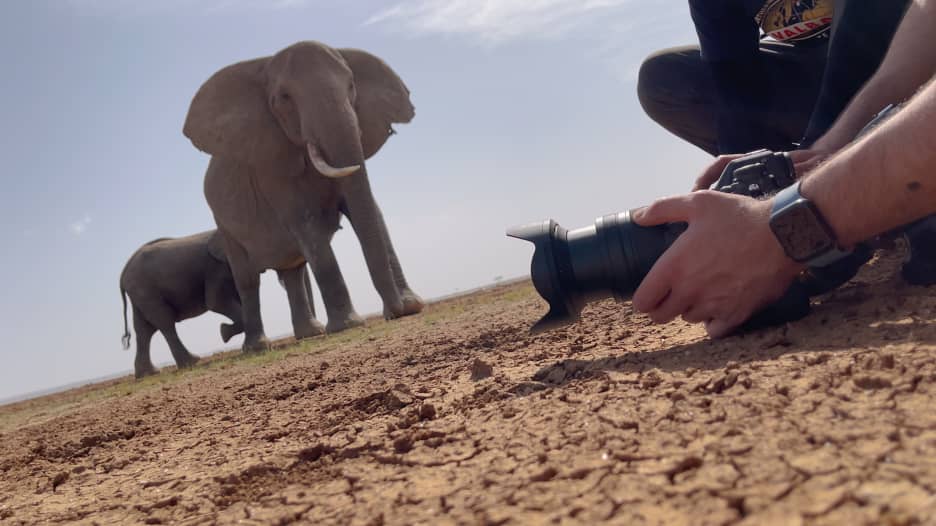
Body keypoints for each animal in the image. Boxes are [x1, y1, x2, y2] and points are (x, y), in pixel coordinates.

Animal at [119, 231, 245, 380]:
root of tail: (122, 274)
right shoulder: (216, 268)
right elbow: (217, 302)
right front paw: (224, 333)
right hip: (145, 290)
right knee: (164, 323)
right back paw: (191, 362)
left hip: (139, 295)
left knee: (144, 329)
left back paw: (148, 374)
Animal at [184, 41, 424, 352]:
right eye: (283, 98)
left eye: (351, 86)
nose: (394, 312)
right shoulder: (272, 169)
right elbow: (307, 225)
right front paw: (348, 326)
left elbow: (371, 212)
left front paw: (412, 306)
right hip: (224, 226)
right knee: (248, 280)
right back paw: (257, 347)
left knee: (293, 271)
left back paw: (310, 334)